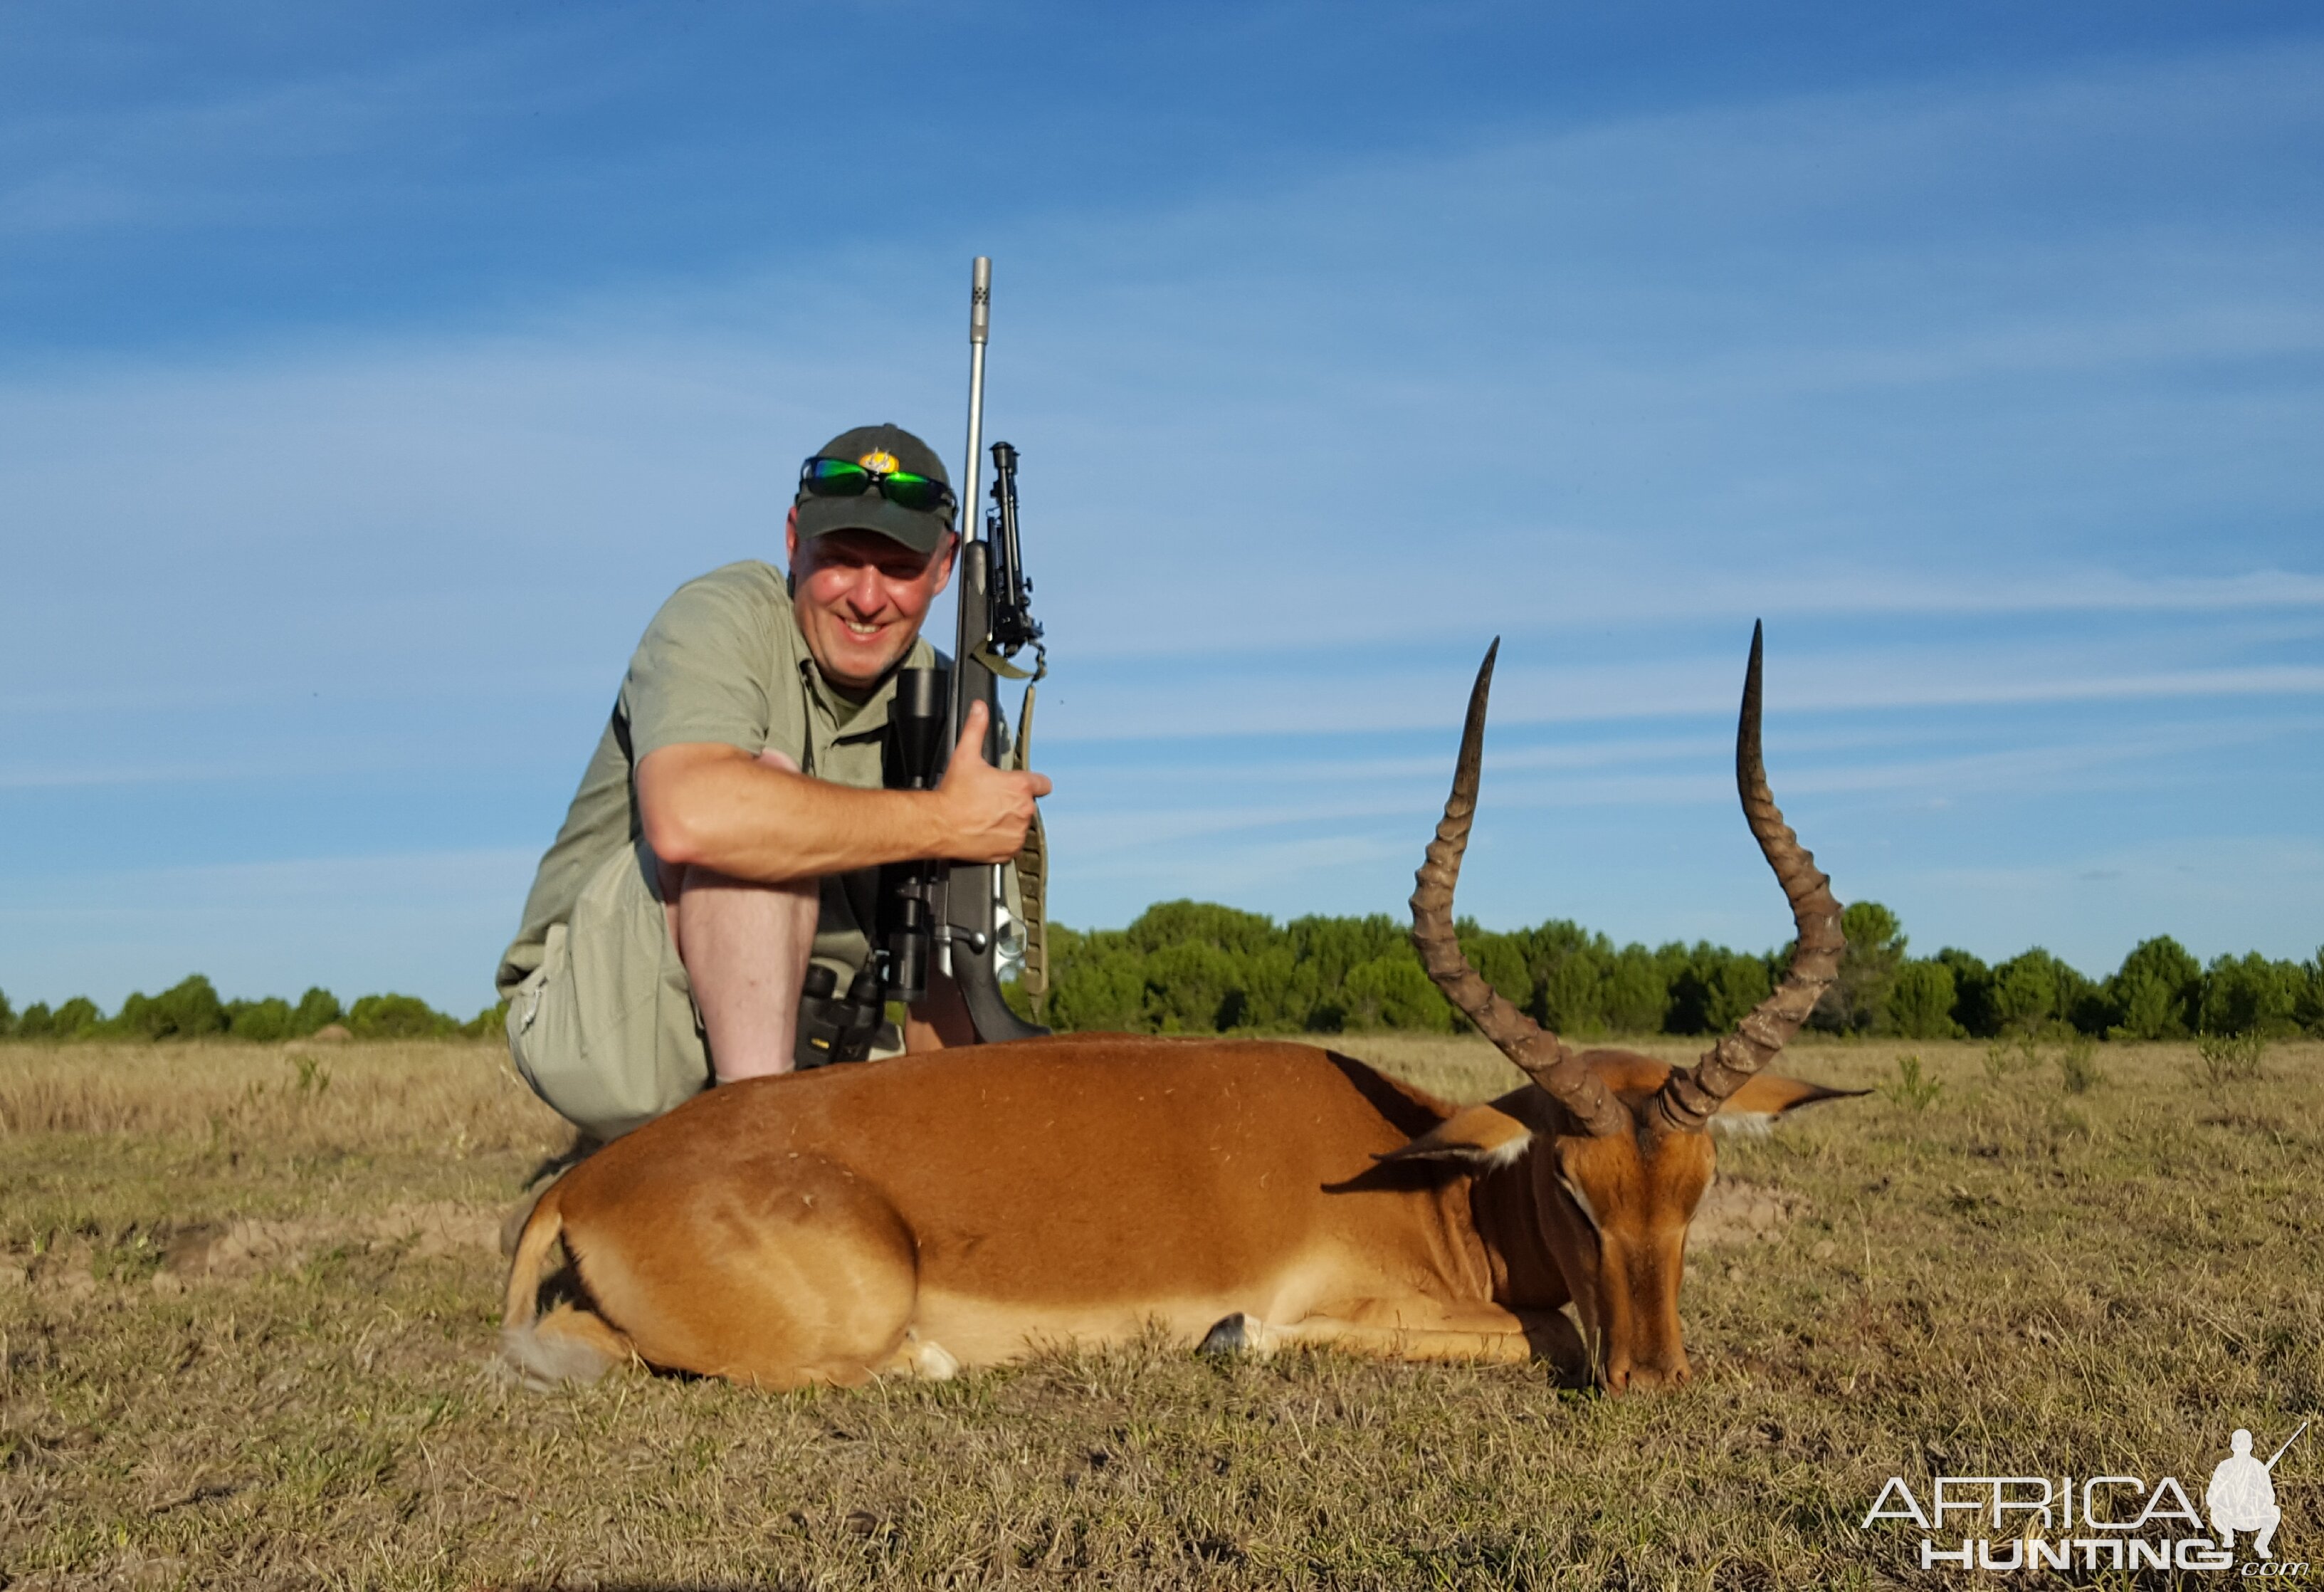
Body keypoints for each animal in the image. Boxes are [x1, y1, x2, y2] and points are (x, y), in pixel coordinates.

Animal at [509, 622, 1849, 1394]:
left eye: (1698, 1189)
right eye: (1572, 1187)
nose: (1655, 1381)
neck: (1432, 1188)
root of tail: (596, 1182)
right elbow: (1550, 1332)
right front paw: (1231, 1339)